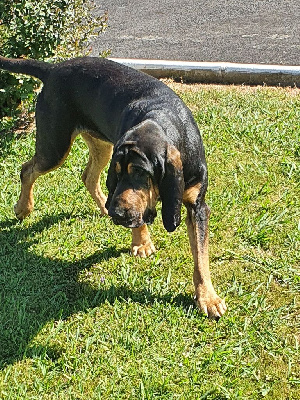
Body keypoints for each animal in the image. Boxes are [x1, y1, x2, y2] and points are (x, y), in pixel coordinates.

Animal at [0, 55, 225, 318]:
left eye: (140, 172)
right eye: (118, 172)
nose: (117, 214)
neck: (162, 119)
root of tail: (54, 68)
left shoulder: (198, 207)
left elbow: (201, 257)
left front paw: (208, 298)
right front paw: (141, 242)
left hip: (98, 145)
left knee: (87, 176)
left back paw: (100, 208)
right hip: (55, 147)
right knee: (27, 169)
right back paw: (24, 207)